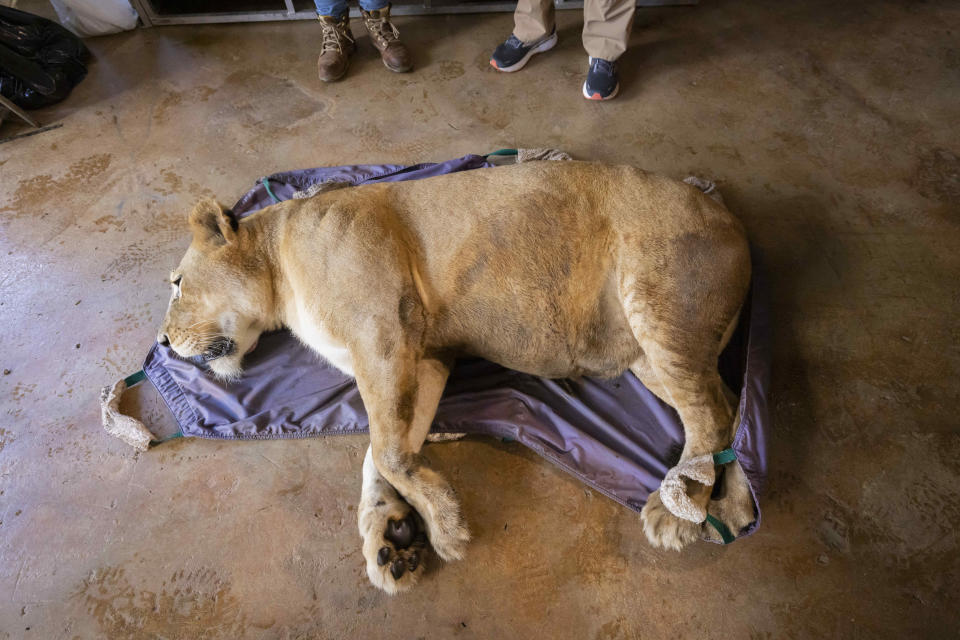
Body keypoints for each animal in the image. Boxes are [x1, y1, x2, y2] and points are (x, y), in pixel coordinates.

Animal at [158, 160, 752, 596]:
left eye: (177, 283)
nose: (162, 342)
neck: (279, 263)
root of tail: (731, 217)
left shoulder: (383, 333)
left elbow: (387, 451)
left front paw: (444, 527)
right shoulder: (425, 358)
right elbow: (384, 451)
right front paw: (391, 539)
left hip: (657, 304)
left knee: (708, 411)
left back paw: (678, 507)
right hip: (648, 357)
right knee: (727, 404)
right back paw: (734, 504)